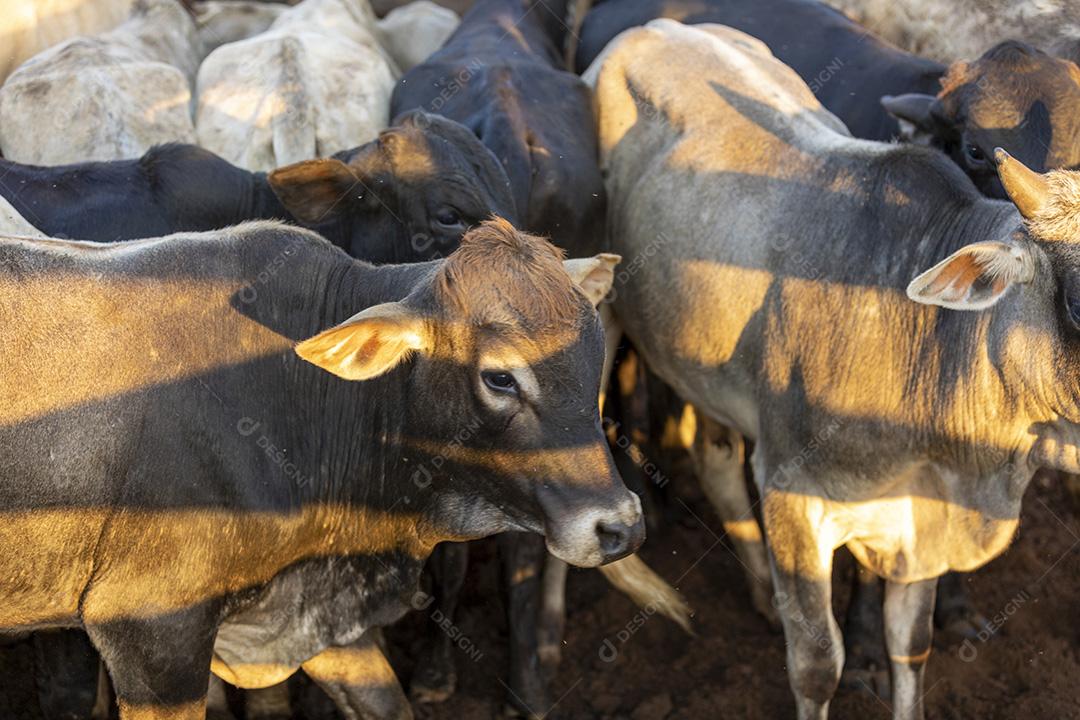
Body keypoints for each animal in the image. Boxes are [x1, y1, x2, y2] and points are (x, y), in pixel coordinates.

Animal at [587, 19, 1080, 719]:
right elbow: (820, 664)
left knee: (715, 456)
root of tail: (656, 26)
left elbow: (912, 648)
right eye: (1077, 302)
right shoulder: (793, 497)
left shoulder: (917, 525)